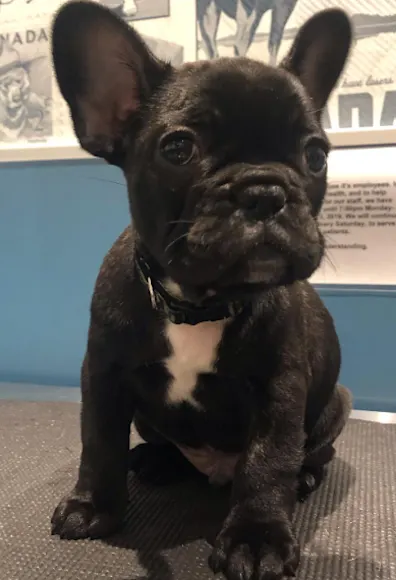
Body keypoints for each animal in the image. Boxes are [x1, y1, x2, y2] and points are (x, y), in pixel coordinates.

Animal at [50, 2, 352, 576]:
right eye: (178, 148)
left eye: (317, 156)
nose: (265, 190)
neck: (198, 303)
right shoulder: (103, 373)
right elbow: (97, 440)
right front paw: (93, 506)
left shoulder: (280, 386)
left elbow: (269, 460)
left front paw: (256, 539)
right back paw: (153, 459)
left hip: (335, 404)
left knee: (306, 453)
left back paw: (304, 477)